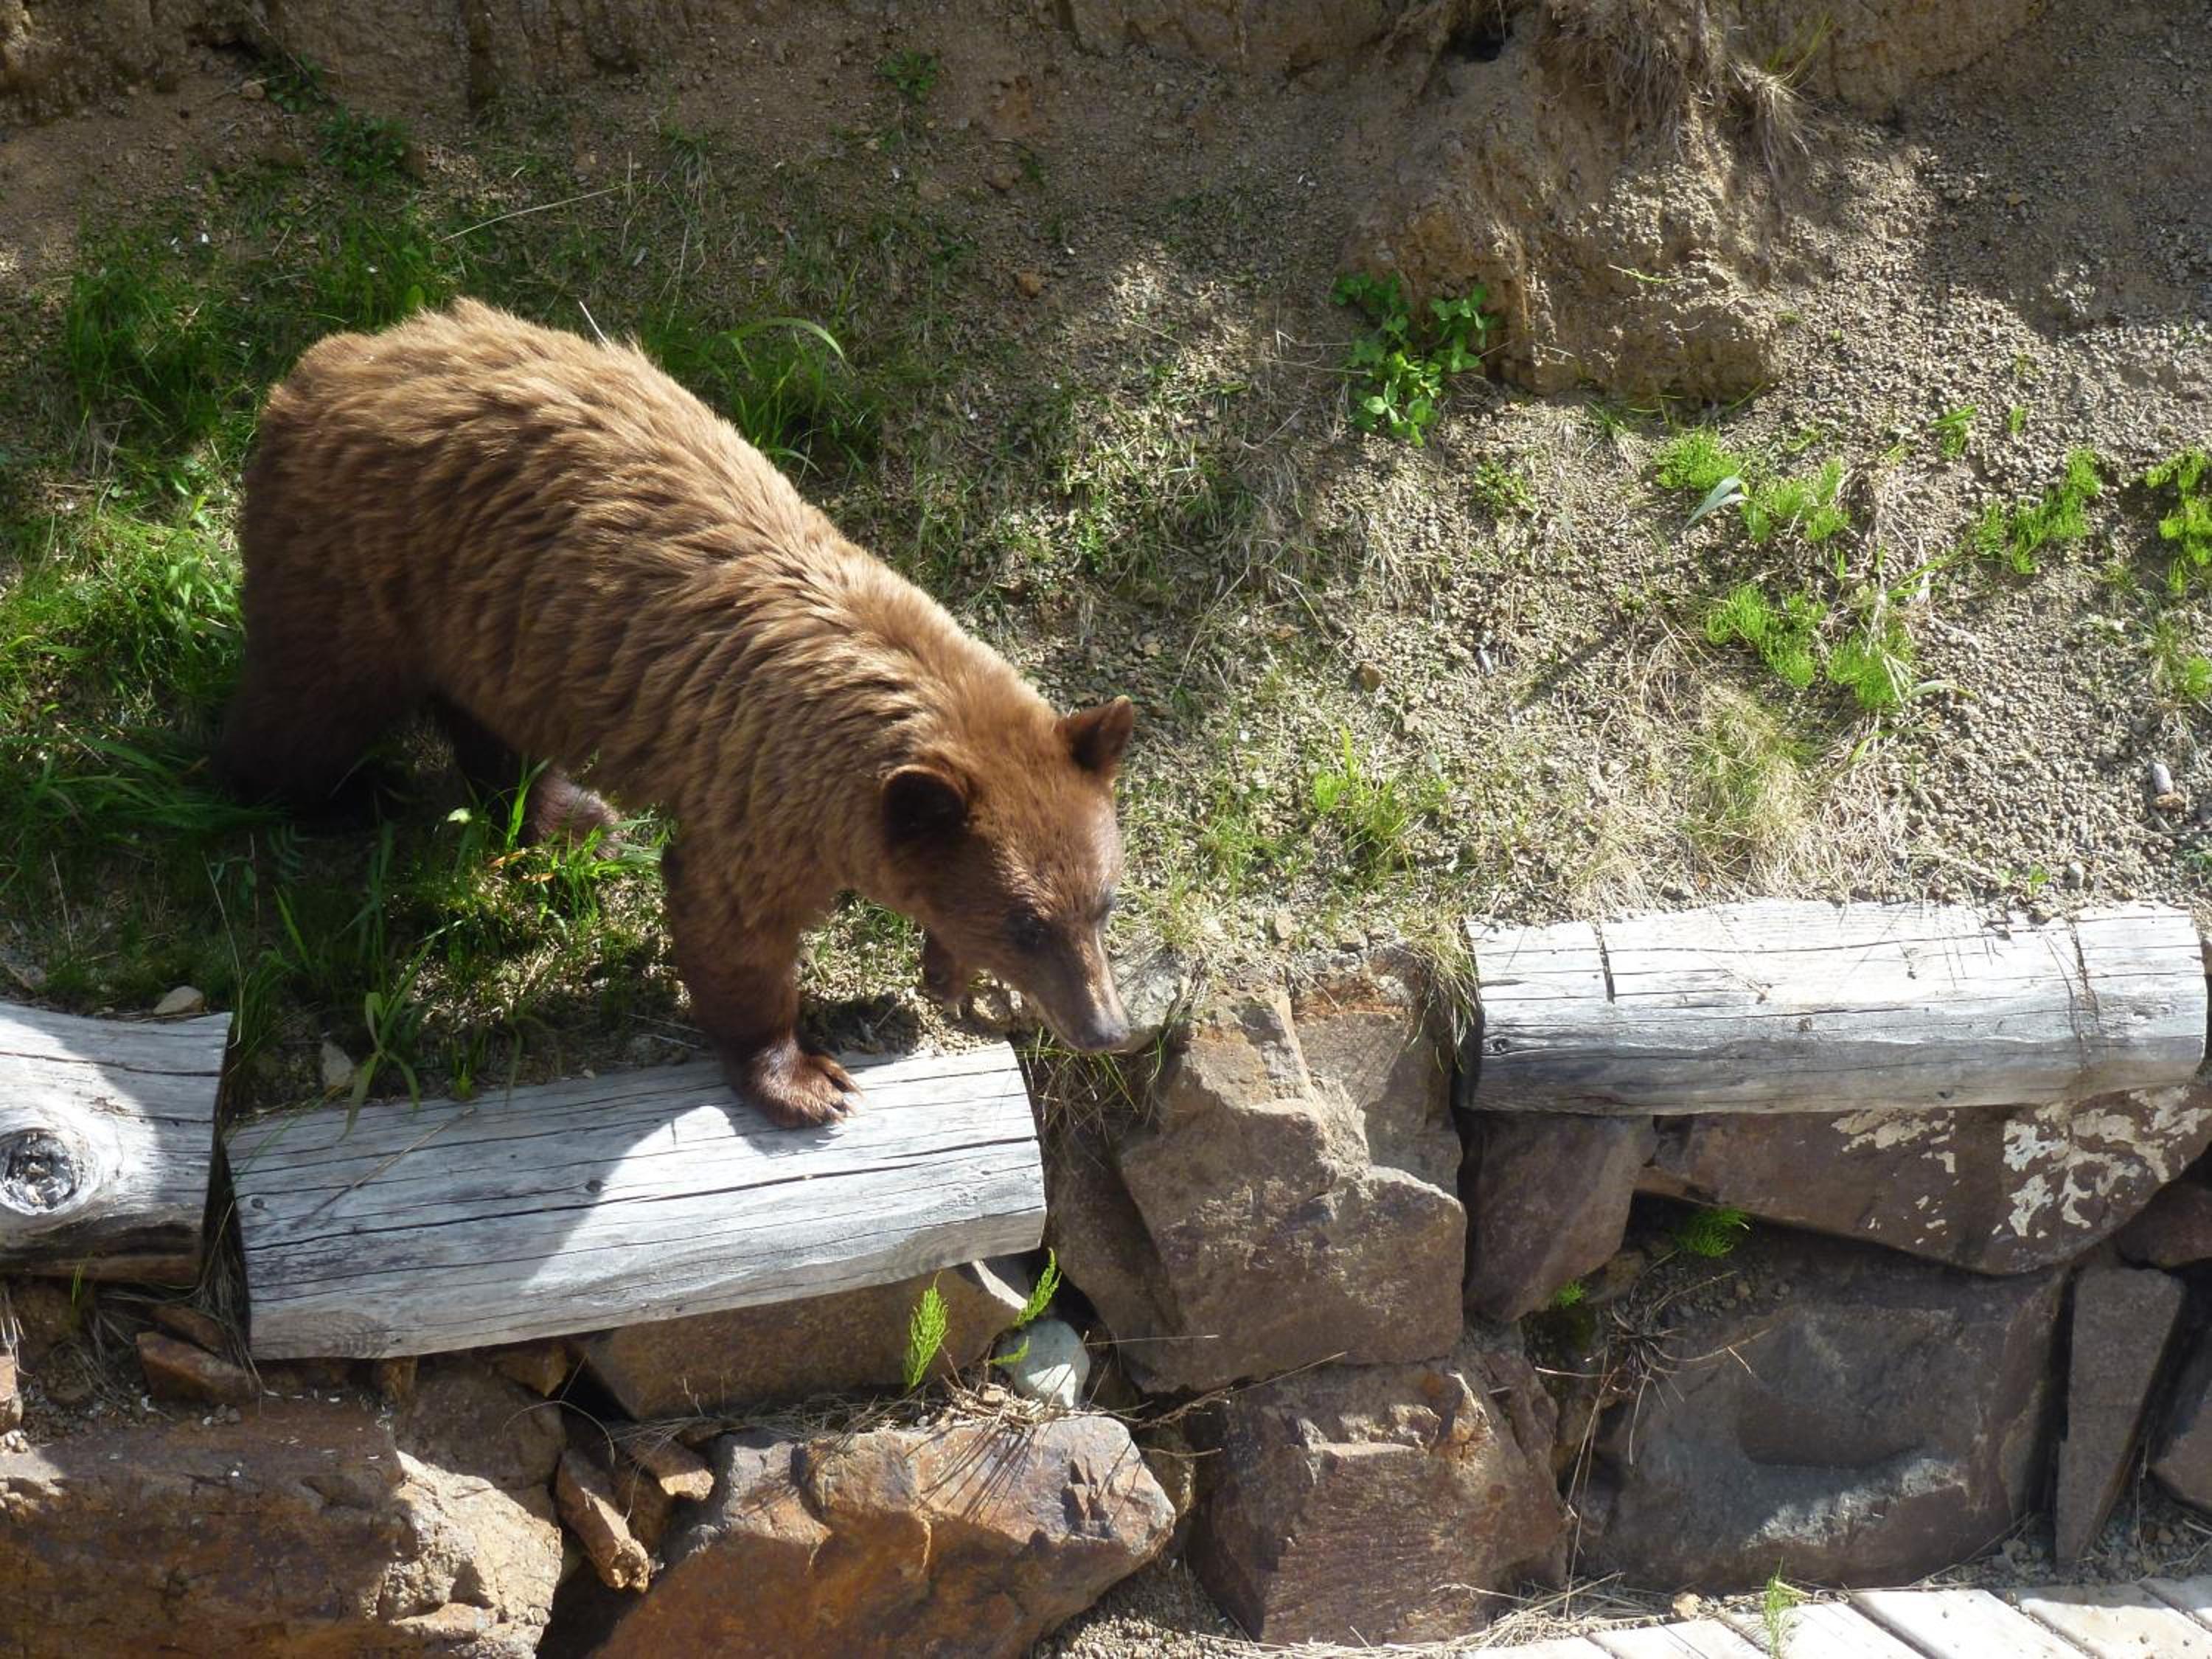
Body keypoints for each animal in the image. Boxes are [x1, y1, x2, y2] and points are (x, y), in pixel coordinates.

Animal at [215, 298, 1133, 1128]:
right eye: (1026, 924)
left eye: (1103, 901)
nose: (1106, 1029)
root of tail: (337, 358)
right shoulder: (759, 788)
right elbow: (732, 921)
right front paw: (806, 1080)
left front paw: (946, 976)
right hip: (360, 562)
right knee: (308, 704)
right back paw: (341, 793)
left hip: (489, 626)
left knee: (488, 723)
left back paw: (571, 819)